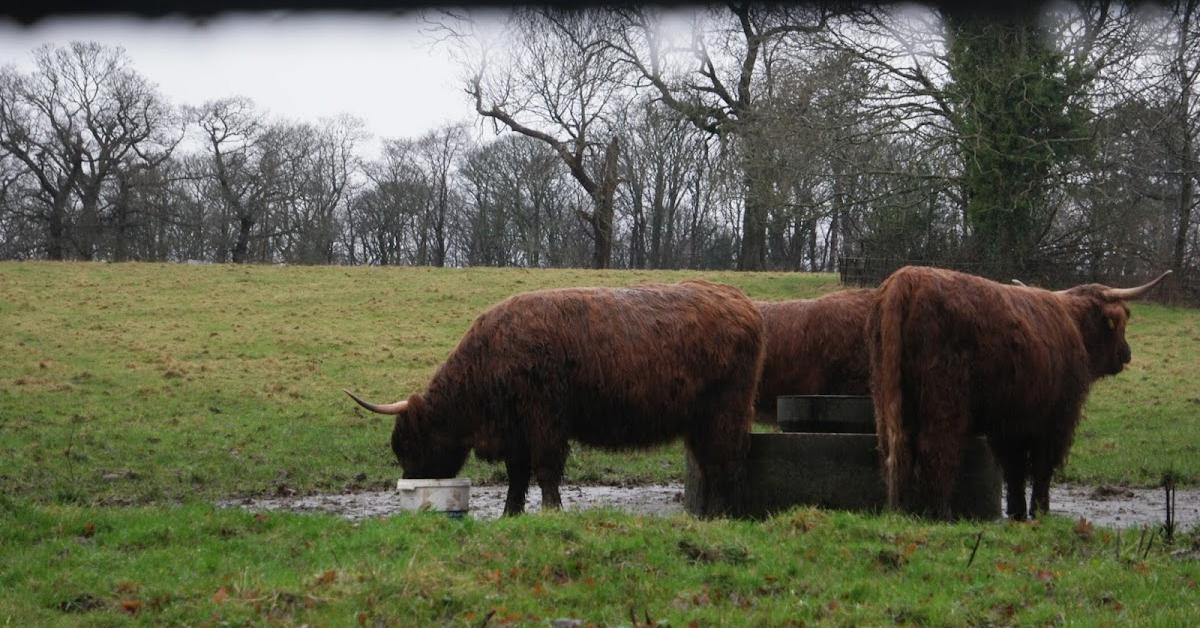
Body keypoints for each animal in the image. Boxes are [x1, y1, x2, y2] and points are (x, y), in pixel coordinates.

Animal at [343, 279, 763, 516]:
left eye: (409, 445)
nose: (409, 483)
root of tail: (742, 301)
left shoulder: (544, 419)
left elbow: (545, 469)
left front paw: (551, 511)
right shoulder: (515, 431)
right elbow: (516, 476)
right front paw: (510, 515)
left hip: (725, 411)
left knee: (726, 464)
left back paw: (721, 516)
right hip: (701, 421)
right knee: (710, 464)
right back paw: (704, 515)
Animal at [868, 265, 1166, 521]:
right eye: (1121, 321)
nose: (1126, 353)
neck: (1075, 327)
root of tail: (905, 280)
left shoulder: (1011, 422)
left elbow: (1014, 469)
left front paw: (1016, 511)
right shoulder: (1056, 418)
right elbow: (1042, 467)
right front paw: (1040, 511)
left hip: (888, 397)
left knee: (894, 448)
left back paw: (901, 509)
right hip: (943, 398)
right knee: (936, 448)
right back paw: (940, 513)